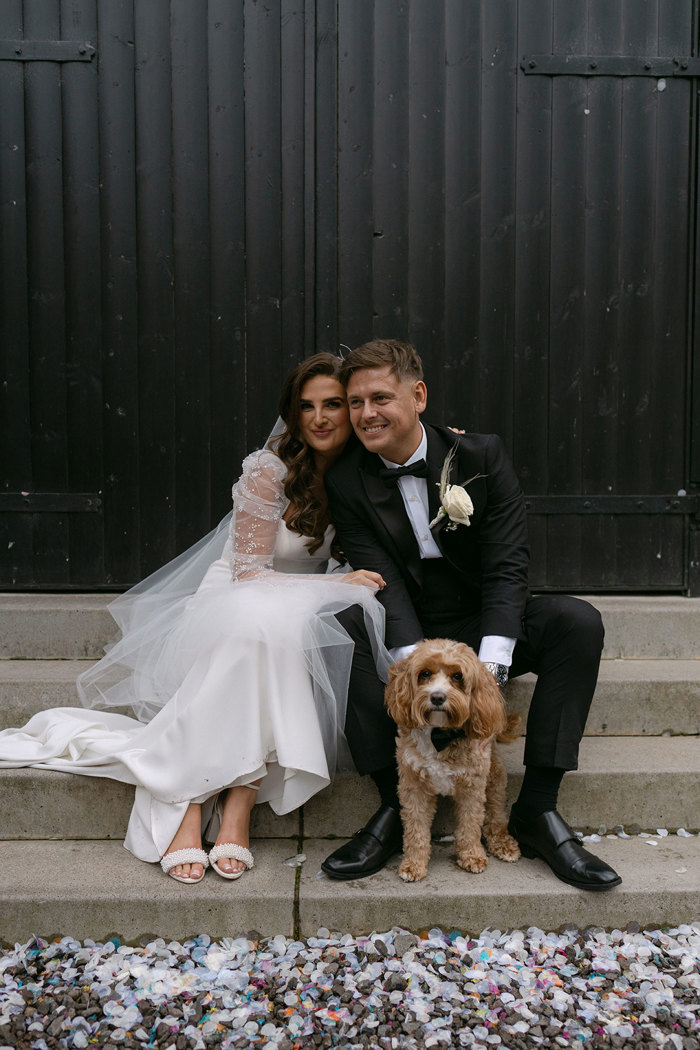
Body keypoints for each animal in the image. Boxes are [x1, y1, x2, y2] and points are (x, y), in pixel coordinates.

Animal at [386, 634, 522, 881]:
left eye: (458, 676)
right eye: (425, 673)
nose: (437, 697)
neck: (440, 735)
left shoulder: (472, 787)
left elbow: (470, 824)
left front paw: (472, 855)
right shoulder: (413, 785)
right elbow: (415, 828)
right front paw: (413, 864)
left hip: (495, 777)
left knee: (495, 815)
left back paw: (503, 843)